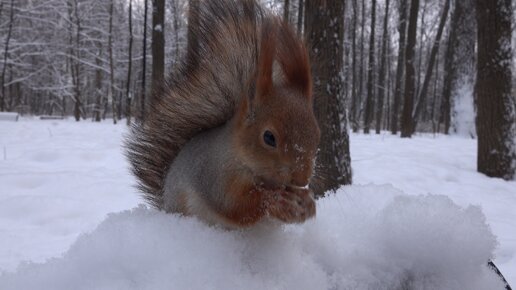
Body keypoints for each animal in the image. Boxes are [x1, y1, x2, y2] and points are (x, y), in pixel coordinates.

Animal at [126, 0, 318, 229]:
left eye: (317, 136)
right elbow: (235, 206)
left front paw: (307, 203)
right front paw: (276, 200)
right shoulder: (215, 175)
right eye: (269, 137)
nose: (302, 179)